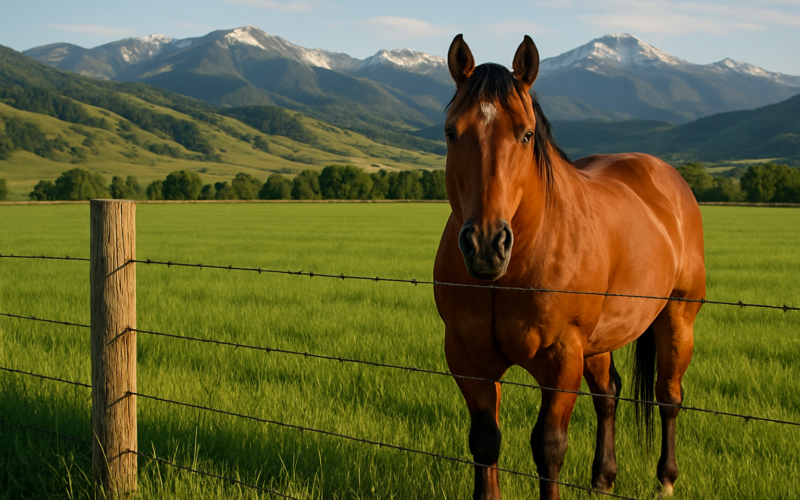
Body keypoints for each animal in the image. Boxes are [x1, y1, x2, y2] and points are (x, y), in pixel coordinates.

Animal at [433, 34, 705, 500]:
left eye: (525, 134)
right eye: (452, 132)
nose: (487, 245)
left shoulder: (562, 356)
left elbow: (549, 447)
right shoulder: (468, 358)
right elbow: (485, 442)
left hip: (677, 318)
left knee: (668, 395)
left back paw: (666, 478)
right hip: (601, 338)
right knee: (608, 395)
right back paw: (603, 478)